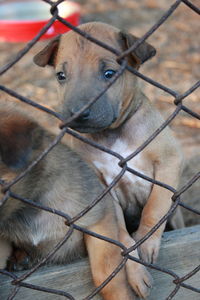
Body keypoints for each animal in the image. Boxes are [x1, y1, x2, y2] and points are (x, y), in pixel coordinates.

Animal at [34, 19, 184, 290]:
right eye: (61, 76)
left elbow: (155, 207)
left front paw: (146, 242)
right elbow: (121, 235)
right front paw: (134, 270)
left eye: (109, 74)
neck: (111, 135)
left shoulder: (168, 161)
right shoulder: (103, 190)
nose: (77, 112)